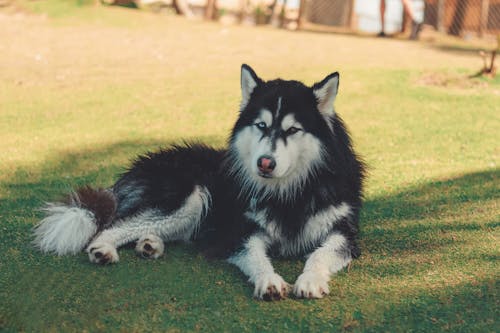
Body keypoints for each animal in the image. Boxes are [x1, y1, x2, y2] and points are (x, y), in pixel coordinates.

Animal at [33, 64, 366, 298]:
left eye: (293, 130)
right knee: (113, 226)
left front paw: (309, 280)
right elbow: (256, 257)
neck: (291, 191)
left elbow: (320, 254)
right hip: (191, 196)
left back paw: (150, 244)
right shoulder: (238, 232)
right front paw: (269, 281)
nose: (265, 163)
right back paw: (104, 249)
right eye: (261, 125)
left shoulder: (343, 233)